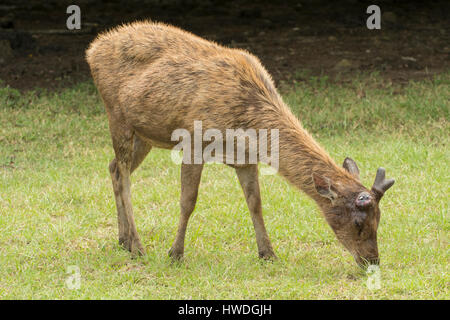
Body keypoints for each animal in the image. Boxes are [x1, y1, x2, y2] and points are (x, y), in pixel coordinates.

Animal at [85, 21, 394, 268]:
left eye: (380, 218)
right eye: (358, 223)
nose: (372, 261)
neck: (246, 126)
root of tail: (93, 48)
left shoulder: (245, 159)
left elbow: (255, 203)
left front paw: (268, 253)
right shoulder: (193, 142)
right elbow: (188, 201)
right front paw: (175, 254)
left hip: (144, 134)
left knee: (114, 168)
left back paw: (123, 240)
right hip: (117, 116)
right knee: (124, 174)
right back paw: (137, 246)